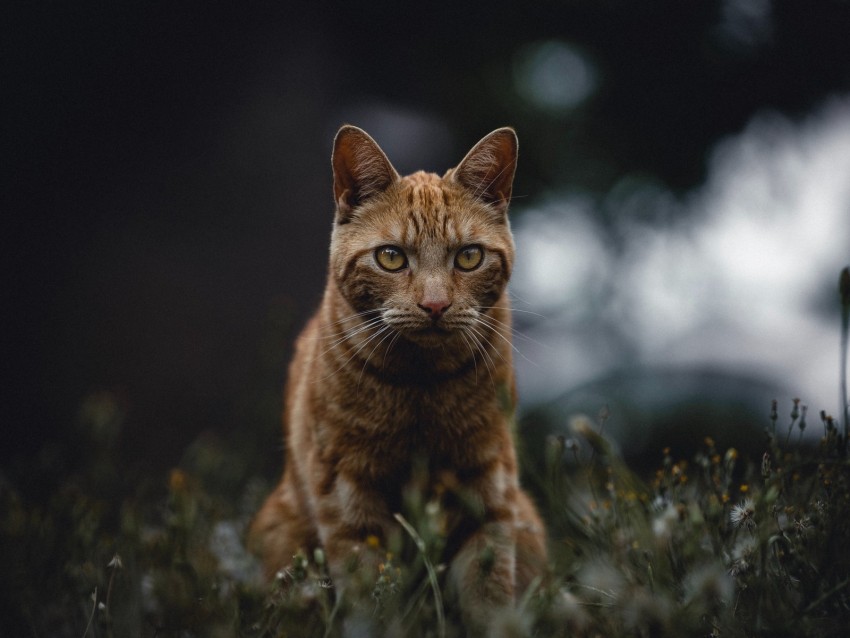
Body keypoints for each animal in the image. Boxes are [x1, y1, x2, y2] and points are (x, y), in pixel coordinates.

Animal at [248, 125, 548, 636]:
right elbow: (371, 603)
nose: (435, 305)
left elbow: (487, 598)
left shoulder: (488, 493)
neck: (420, 390)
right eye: (390, 258)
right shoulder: (350, 501)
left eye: (469, 257)